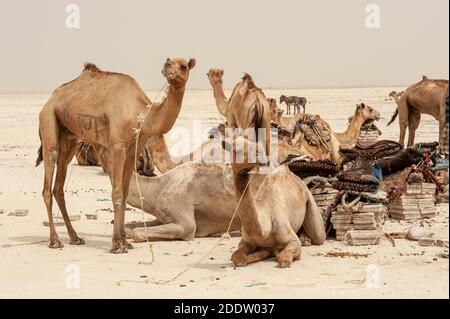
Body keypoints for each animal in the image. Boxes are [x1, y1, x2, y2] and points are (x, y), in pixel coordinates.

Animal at [35, 57, 197, 252]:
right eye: (170, 62)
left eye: (184, 66)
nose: (168, 68)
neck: (141, 114)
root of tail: (49, 100)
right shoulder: (117, 146)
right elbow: (117, 193)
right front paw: (117, 244)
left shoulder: (133, 149)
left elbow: (125, 193)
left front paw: (125, 241)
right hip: (48, 121)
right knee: (48, 180)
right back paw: (55, 240)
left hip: (69, 138)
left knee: (58, 187)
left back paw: (75, 237)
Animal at [222, 136, 326, 268]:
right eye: (235, 149)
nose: (260, 155)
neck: (264, 231)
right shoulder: (245, 241)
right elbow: (237, 257)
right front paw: (260, 254)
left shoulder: (292, 240)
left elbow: (283, 258)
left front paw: (278, 252)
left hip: (311, 204)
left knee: (318, 236)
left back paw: (306, 240)